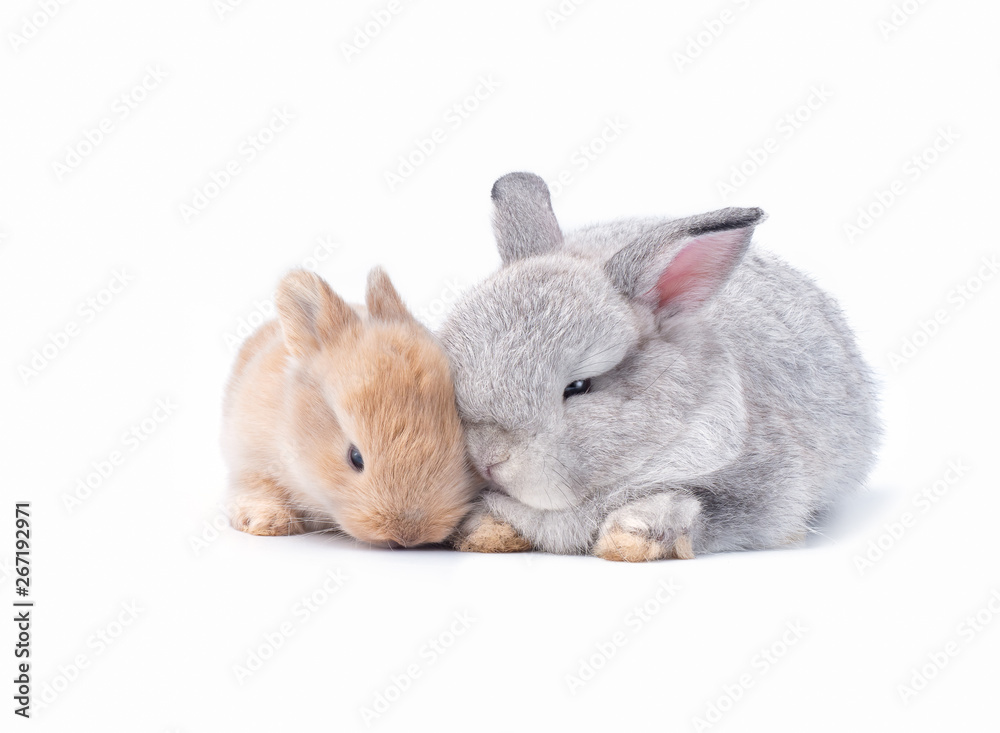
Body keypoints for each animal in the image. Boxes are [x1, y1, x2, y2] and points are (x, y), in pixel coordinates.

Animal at [221, 266, 478, 547]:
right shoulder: (248, 460)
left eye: (464, 455)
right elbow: (257, 488)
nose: (407, 535)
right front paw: (267, 522)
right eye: (355, 458)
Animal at [439, 172, 881, 561]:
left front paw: (631, 539)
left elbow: (694, 507)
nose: (489, 459)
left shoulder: (767, 491)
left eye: (579, 386)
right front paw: (484, 533)